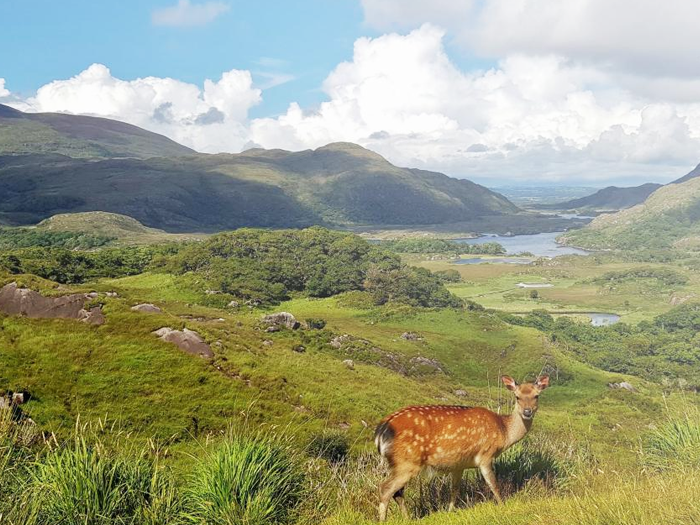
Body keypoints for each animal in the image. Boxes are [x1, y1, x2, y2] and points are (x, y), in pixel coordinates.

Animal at [374, 374, 548, 516]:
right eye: (517, 397)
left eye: (536, 396)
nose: (527, 412)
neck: (503, 431)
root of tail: (382, 430)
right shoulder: (485, 454)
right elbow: (493, 484)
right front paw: (502, 506)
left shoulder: (459, 464)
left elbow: (455, 489)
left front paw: (450, 511)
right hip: (407, 461)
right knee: (385, 489)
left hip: (398, 463)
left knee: (397, 492)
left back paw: (407, 518)